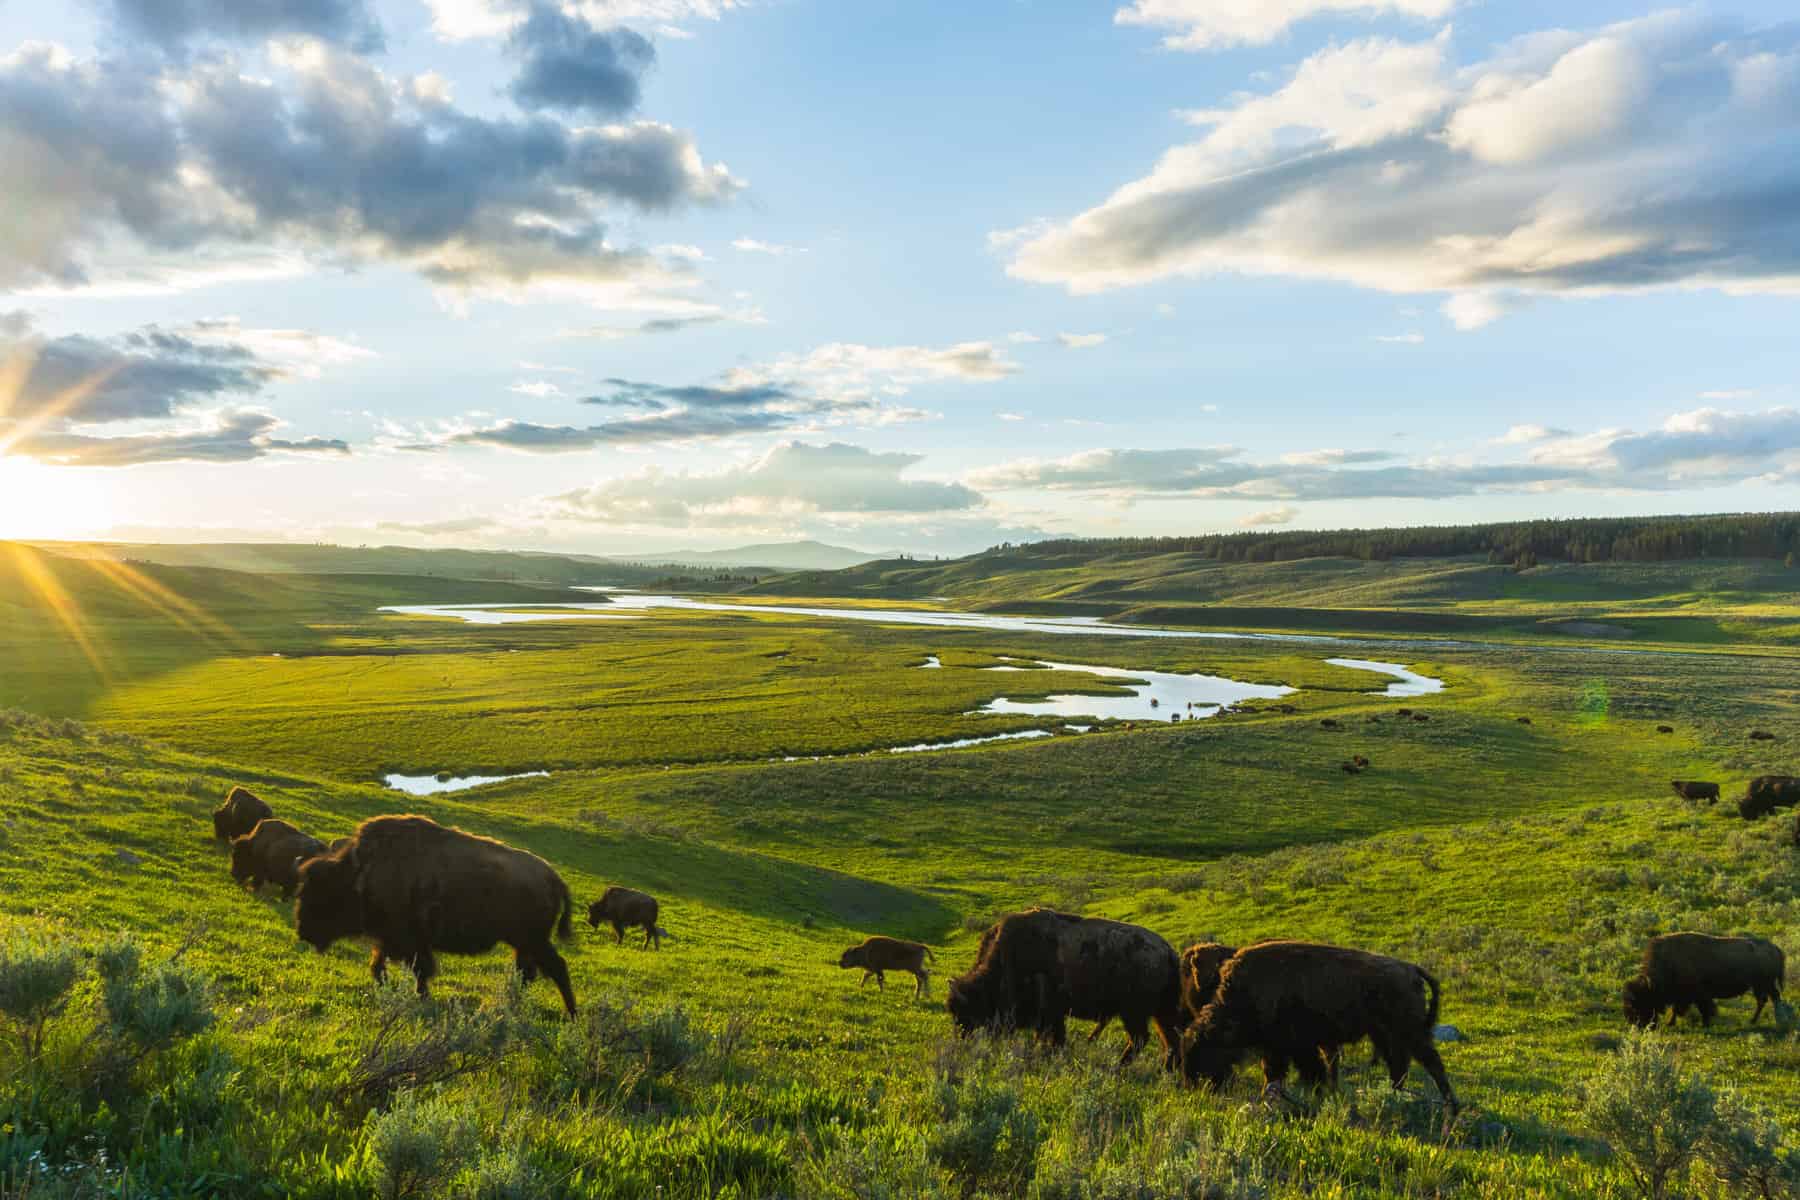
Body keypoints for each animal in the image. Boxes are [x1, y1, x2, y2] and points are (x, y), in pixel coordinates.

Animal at [295, 813, 576, 1021]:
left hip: (533, 941)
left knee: (555, 968)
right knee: (527, 972)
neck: (359, 875)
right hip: (523, 943)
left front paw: (422, 997)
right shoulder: (391, 940)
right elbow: (379, 965)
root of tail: (554, 878)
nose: (303, 932)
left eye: (321, 893)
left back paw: (571, 1014)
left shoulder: (410, 941)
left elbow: (420, 970)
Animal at [950, 910, 1188, 1072]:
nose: (962, 1041)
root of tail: (1168, 953)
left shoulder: (1051, 1013)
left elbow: (1054, 1038)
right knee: (1170, 1040)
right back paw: (1164, 1071)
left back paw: (1119, 1067)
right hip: (1159, 1013)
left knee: (1141, 1039)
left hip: (1133, 1013)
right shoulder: (1053, 1015)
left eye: (968, 1012)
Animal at [1180, 935, 1461, 1115]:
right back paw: (1395, 1095)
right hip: (1388, 1035)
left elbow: (1300, 1071)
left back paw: (1451, 1105)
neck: (1241, 997)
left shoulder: (1293, 1047)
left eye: (1205, 1052)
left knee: (1431, 1062)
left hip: (1409, 1032)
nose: (1195, 1088)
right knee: (1400, 1065)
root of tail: (1411, 969)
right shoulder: (1284, 1048)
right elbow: (1280, 1072)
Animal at [1620, 935, 1785, 1029]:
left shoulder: (1698, 995)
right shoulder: (1684, 997)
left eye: (1636, 1004)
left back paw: (1773, 1020)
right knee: (1764, 1000)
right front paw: (1671, 1022)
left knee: (1772, 998)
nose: (1635, 1024)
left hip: (1764, 984)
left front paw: (1705, 1024)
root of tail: (1775, 948)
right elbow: (1677, 1009)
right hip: (1759, 985)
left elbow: (1701, 1009)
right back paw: (1755, 1021)